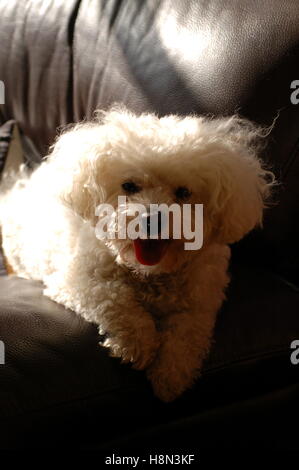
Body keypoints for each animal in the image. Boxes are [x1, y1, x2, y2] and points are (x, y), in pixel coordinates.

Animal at [0, 108, 274, 402]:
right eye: (129, 186)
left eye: (184, 192)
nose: (152, 220)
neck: (149, 274)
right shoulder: (76, 282)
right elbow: (116, 299)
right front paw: (139, 344)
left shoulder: (201, 301)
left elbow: (188, 333)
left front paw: (171, 375)